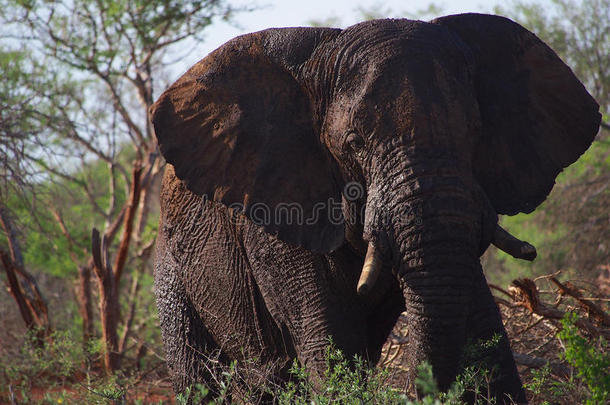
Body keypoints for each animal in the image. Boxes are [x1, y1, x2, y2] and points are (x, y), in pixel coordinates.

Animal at [148, 12, 600, 400]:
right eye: (354, 143)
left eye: (474, 131)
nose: (418, 388)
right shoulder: (276, 211)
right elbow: (330, 339)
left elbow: (479, 316)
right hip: (173, 272)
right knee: (197, 373)